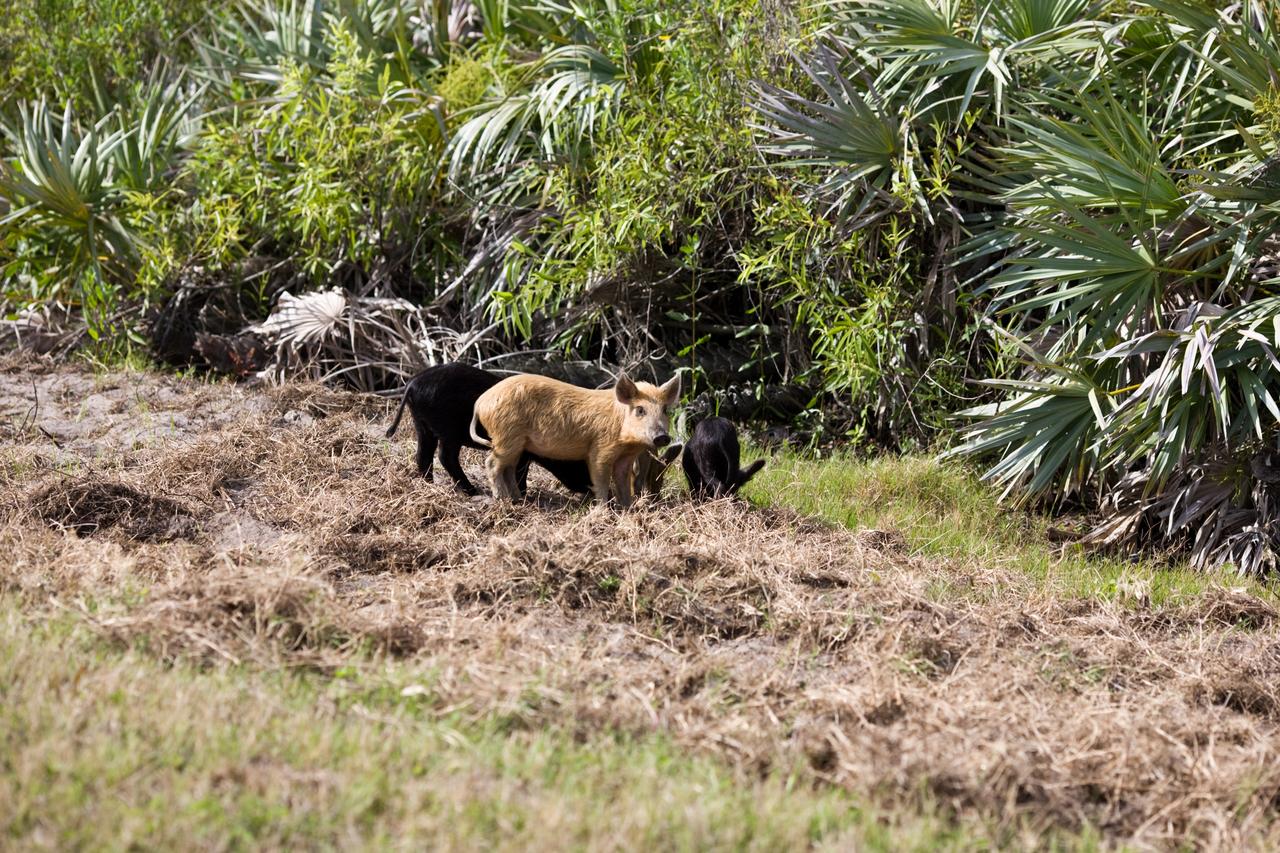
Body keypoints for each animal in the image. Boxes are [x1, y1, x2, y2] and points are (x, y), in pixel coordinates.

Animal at [385, 363, 591, 496]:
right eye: (580, 462)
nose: (590, 489)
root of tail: (412, 383)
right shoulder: (521, 451)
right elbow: (520, 472)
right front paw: (524, 495)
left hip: (422, 424)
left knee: (423, 455)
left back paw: (430, 486)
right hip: (448, 430)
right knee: (445, 457)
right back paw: (471, 491)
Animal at [471, 373, 681, 507]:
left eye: (664, 410)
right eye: (640, 410)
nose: (662, 436)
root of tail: (480, 402)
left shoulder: (625, 458)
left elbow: (623, 481)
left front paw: (628, 508)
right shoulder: (600, 449)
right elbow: (601, 480)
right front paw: (603, 510)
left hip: (516, 443)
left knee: (508, 468)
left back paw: (518, 501)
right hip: (506, 437)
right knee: (492, 463)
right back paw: (503, 501)